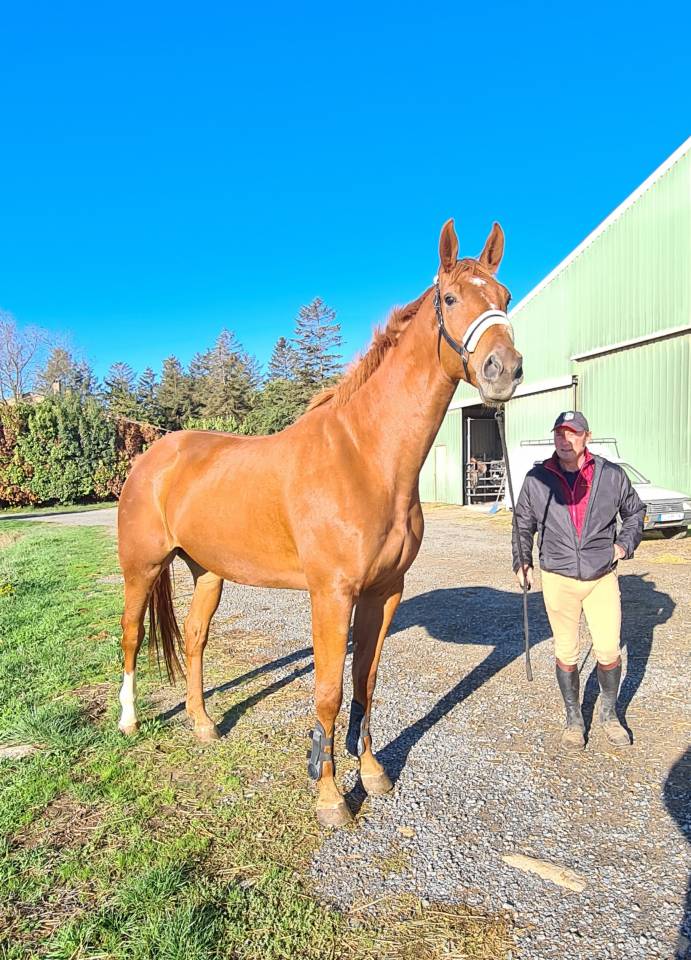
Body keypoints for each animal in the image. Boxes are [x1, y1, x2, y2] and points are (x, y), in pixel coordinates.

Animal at [116, 219, 523, 827]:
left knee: (194, 640)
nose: (505, 370)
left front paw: (372, 772)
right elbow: (329, 690)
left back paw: (204, 724)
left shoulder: (384, 591)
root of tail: (152, 456)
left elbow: (366, 681)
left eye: (504, 297)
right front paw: (329, 795)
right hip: (141, 568)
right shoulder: (331, 593)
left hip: (207, 572)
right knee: (130, 636)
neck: (364, 458)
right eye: (450, 299)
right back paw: (128, 721)